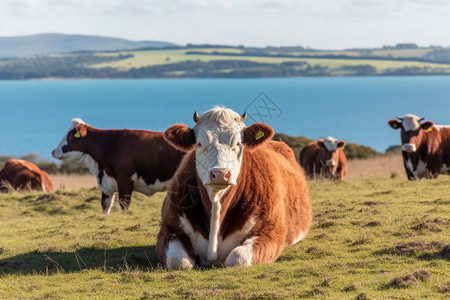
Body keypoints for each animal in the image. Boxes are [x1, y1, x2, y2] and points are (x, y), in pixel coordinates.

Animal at [52, 118, 185, 214]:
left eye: (70, 136)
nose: (53, 151)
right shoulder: (106, 185)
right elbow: (105, 205)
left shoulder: (125, 180)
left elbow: (124, 204)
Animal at [156, 107, 312, 270]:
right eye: (199, 144)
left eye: (238, 143)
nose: (220, 173)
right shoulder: (169, 229)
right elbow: (179, 261)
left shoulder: (270, 232)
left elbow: (237, 258)